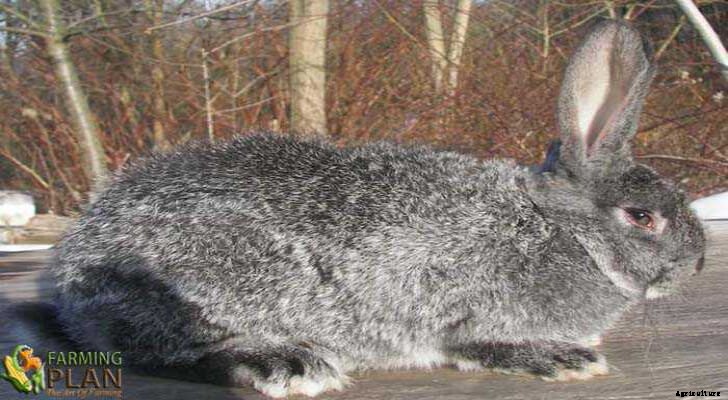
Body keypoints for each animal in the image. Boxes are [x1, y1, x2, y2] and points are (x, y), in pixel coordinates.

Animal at [51, 20, 706, 398]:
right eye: (642, 217)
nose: (697, 265)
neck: (562, 231)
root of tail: (75, 268)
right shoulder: (466, 308)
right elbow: (479, 343)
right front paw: (565, 358)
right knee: (159, 350)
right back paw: (283, 364)